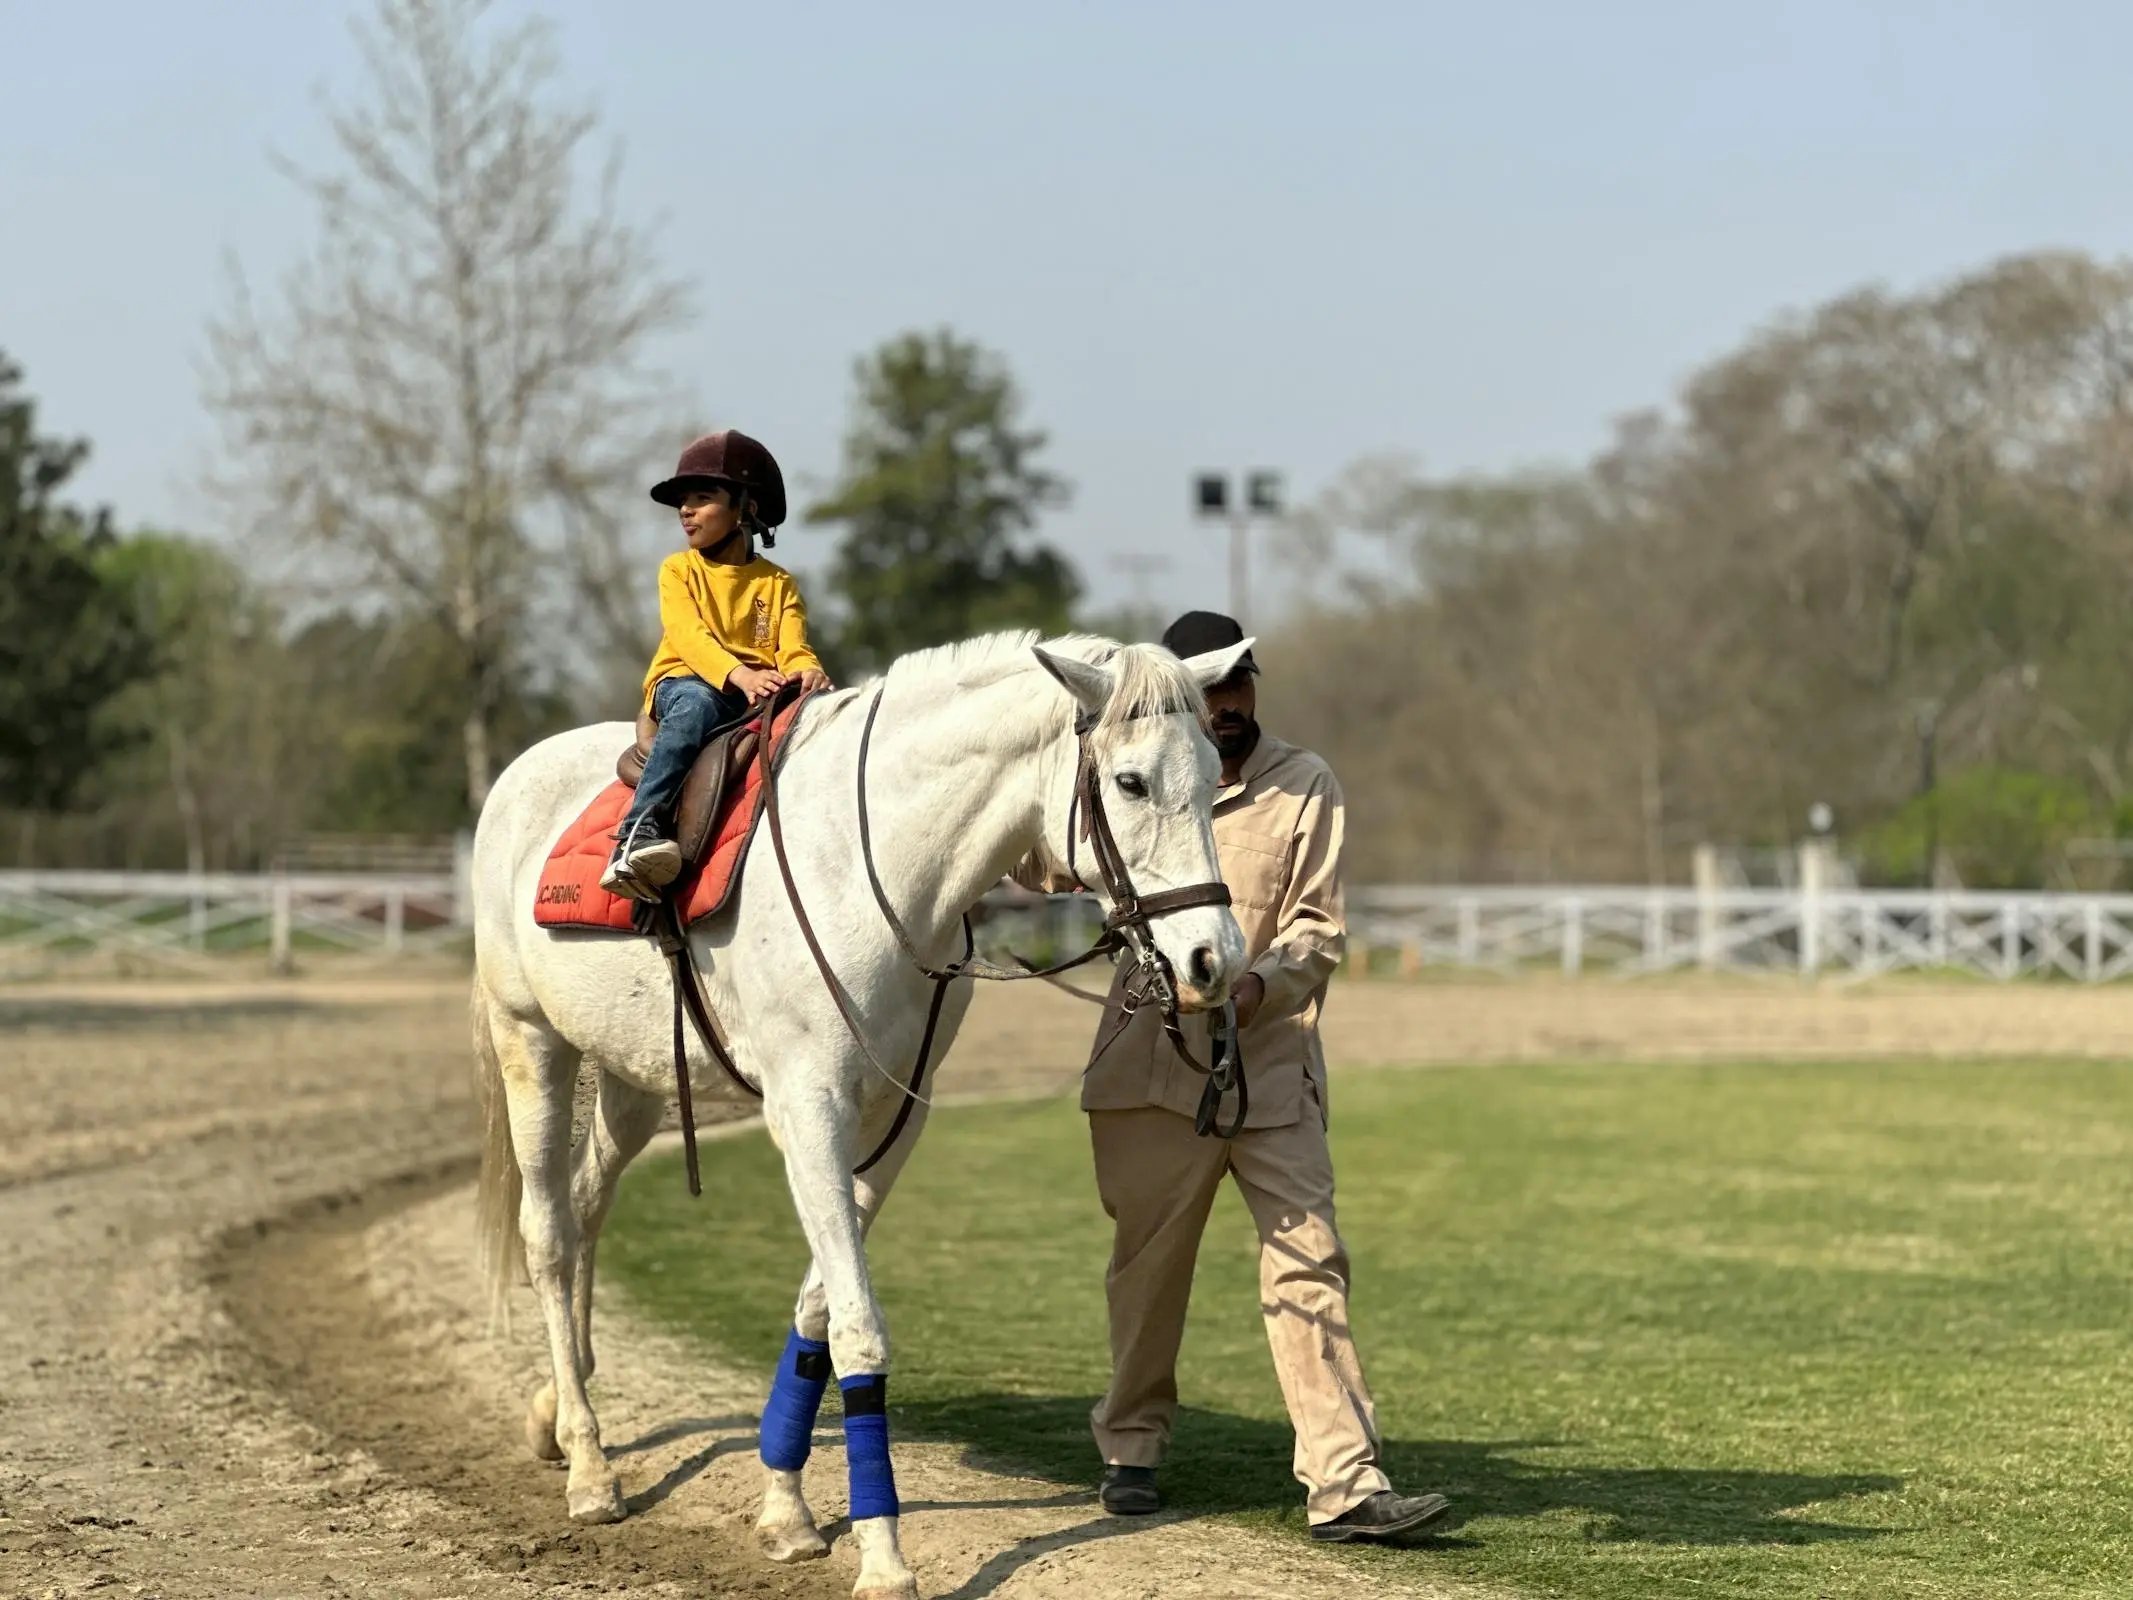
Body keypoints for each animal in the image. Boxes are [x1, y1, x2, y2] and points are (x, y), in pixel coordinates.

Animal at [469, 630, 1251, 1600]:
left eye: (1215, 772)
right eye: (1132, 782)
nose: (1214, 959)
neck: (873, 870)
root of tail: (518, 777)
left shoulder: (891, 1122)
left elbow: (817, 1314)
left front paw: (785, 1509)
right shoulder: (809, 1114)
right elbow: (857, 1329)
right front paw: (881, 1553)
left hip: (633, 1080)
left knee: (583, 1213)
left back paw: (559, 1405)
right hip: (532, 1045)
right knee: (547, 1234)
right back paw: (587, 1467)